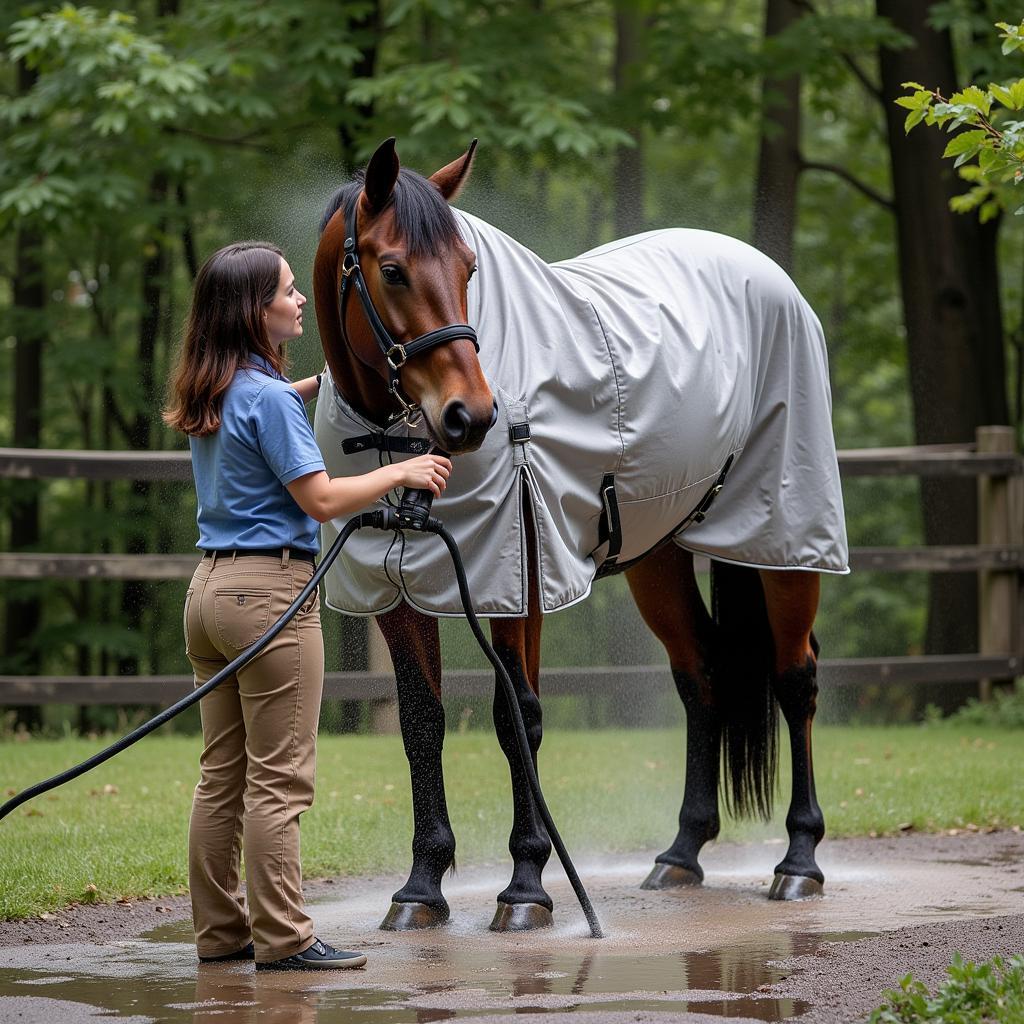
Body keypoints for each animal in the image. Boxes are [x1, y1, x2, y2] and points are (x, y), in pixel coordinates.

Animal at [311, 138, 847, 937]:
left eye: (468, 268)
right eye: (393, 268)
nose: (472, 415)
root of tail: (765, 272)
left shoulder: (519, 574)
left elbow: (518, 718)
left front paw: (527, 886)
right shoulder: (393, 588)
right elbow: (420, 723)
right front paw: (421, 887)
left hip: (785, 536)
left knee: (795, 677)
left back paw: (799, 862)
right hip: (659, 556)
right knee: (701, 672)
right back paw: (681, 853)